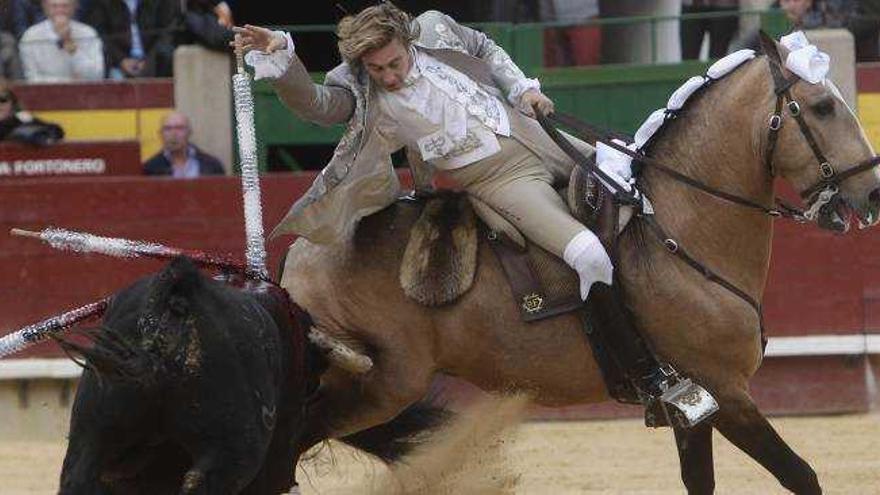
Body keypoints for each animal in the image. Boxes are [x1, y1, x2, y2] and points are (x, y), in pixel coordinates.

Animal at [280, 36, 880, 494]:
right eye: (822, 107)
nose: (872, 193)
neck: (677, 225)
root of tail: (297, 256)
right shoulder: (727, 394)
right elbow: (801, 475)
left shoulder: (696, 407)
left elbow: (701, 481)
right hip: (382, 385)